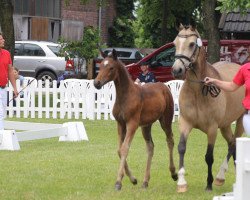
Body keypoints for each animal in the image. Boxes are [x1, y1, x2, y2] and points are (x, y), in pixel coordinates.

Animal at [94, 49, 178, 190]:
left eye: (111, 67)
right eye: (100, 67)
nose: (97, 83)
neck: (125, 96)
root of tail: (165, 86)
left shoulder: (132, 124)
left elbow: (125, 148)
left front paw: (118, 182)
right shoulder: (120, 124)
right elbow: (119, 150)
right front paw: (133, 179)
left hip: (165, 120)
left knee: (170, 140)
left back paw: (174, 173)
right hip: (146, 126)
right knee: (150, 147)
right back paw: (145, 181)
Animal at [171, 24, 245, 192]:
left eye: (192, 44)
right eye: (174, 43)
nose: (177, 70)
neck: (198, 92)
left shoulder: (212, 128)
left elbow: (209, 156)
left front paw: (209, 184)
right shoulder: (185, 123)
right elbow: (181, 148)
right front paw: (181, 183)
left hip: (240, 120)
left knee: (234, 143)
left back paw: (219, 176)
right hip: (225, 125)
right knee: (232, 143)